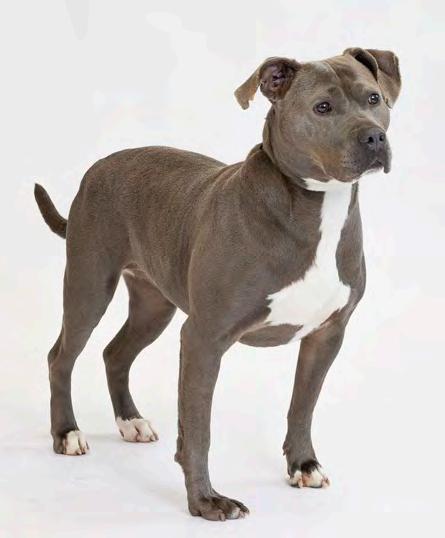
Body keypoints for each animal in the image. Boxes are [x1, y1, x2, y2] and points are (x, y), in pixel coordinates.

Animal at [34, 47, 401, 521]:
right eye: (322, 107)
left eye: (374, 98)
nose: (374, 138)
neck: (316, 207)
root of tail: (99, 166)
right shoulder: (204, 338)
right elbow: (198, 430)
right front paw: (205, 501)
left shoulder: (326, 336)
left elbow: (302, 405)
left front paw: (303, 464)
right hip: (88, 286)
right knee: (61, 356)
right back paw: (66, 433)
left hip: (154, 305)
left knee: (115, 353)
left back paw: (130, 422)